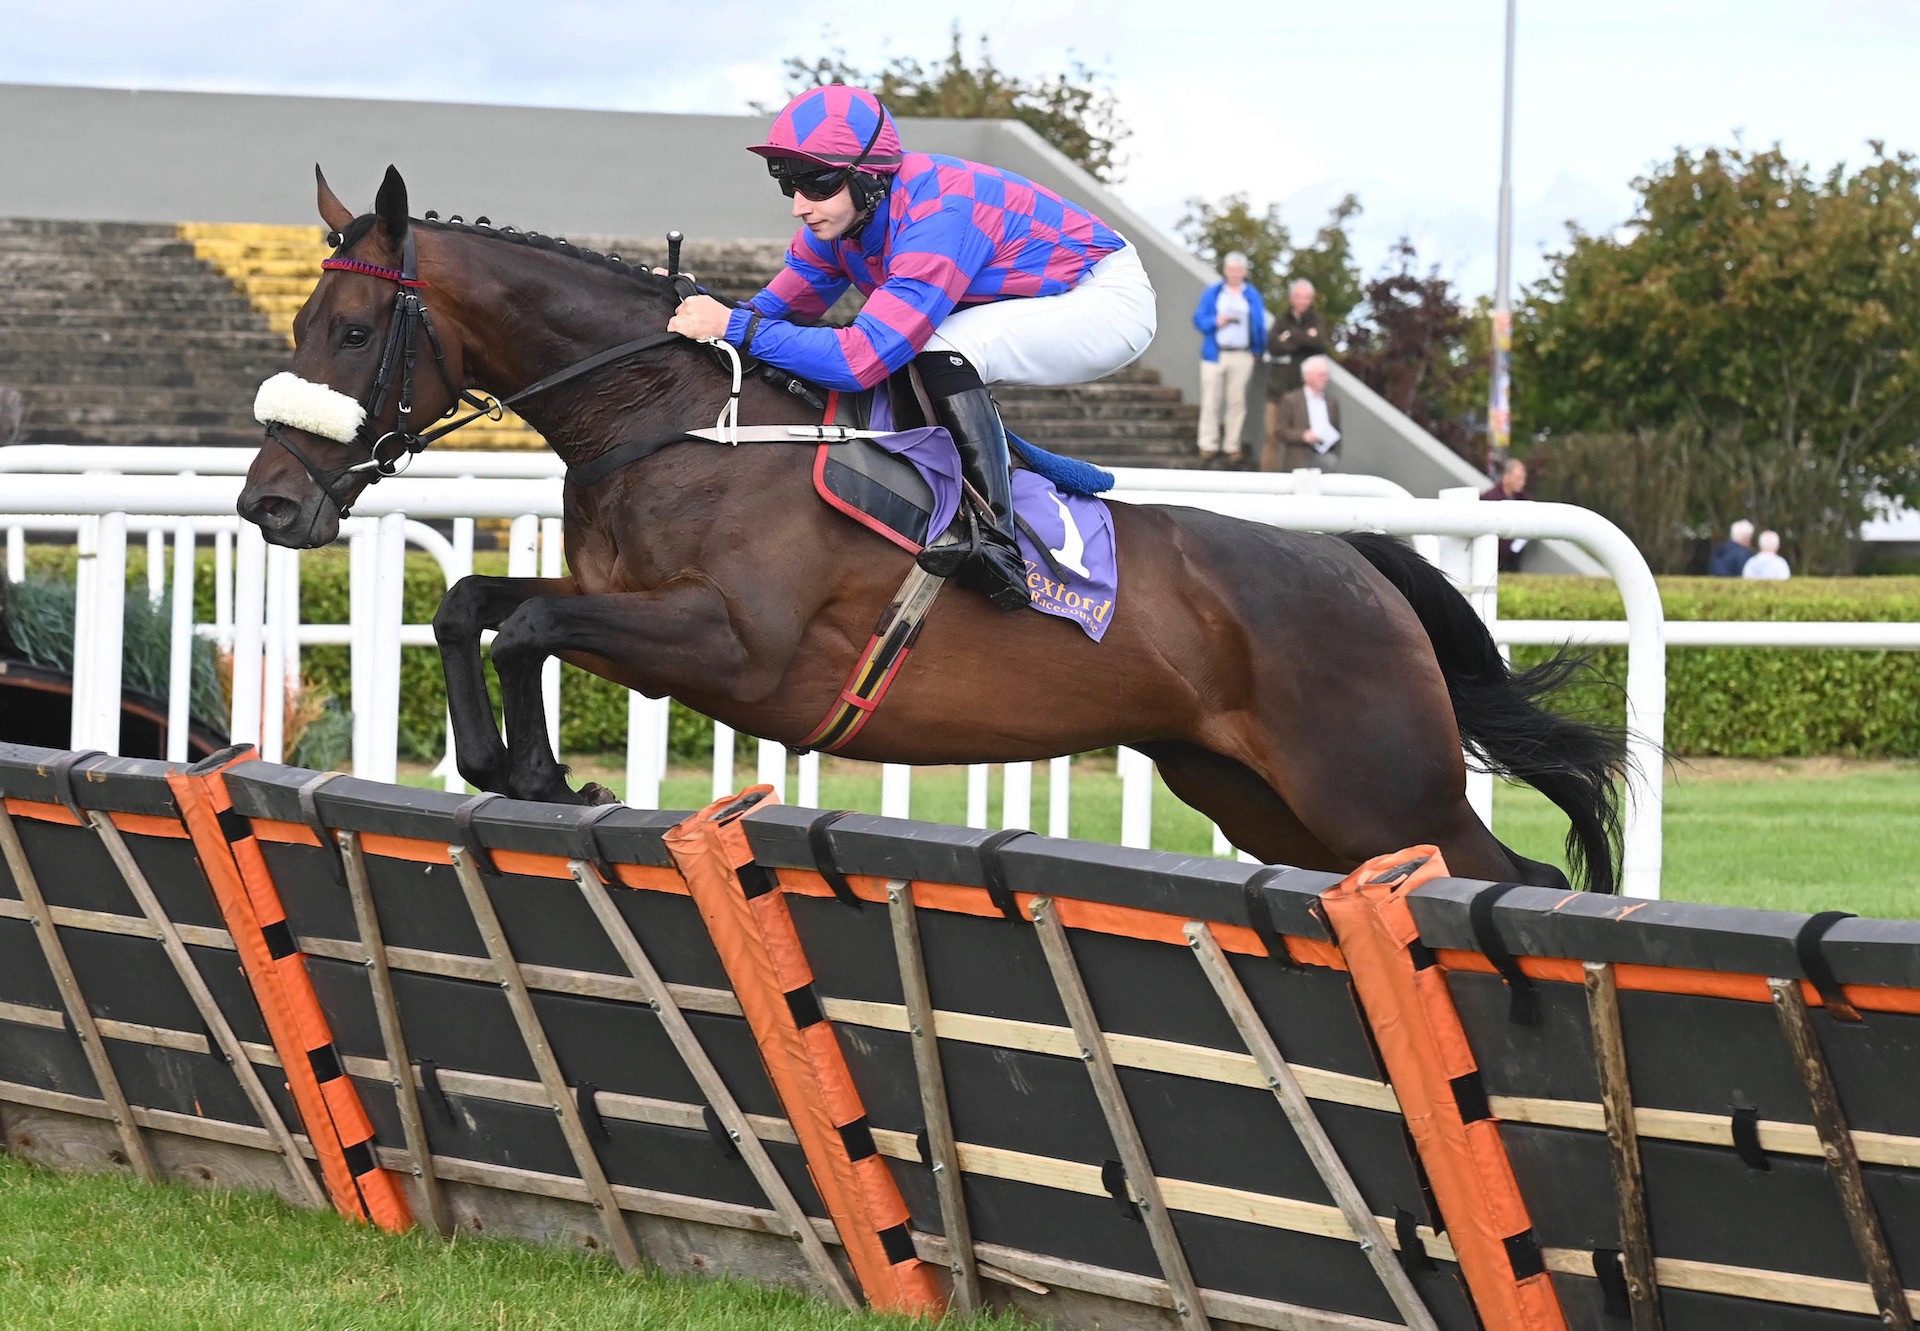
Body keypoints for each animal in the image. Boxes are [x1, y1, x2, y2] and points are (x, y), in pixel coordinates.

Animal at [232, 166, 1628, 891]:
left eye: (351, 331)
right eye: (298, 322)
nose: (268, 501)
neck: (669, 421)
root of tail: (1358, 562)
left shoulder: (736, 647)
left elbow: (524, 620)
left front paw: (537, 769)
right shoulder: (642, 618)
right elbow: (475, 604)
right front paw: (505, 762)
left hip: (1376, 777)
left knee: (1520, 876)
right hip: (1258, 792)